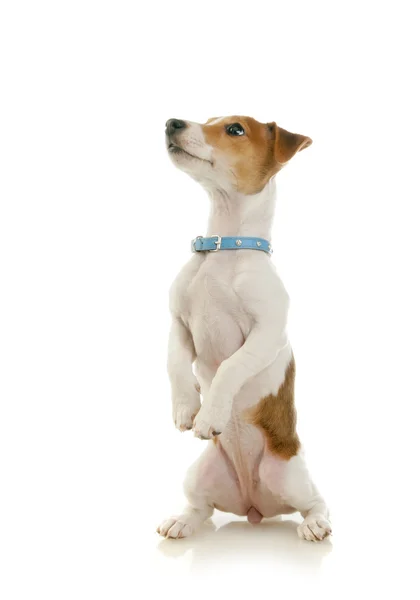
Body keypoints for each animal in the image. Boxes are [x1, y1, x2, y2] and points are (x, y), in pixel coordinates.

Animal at [158, 115, 332, 540]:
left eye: (235, 129)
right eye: (207, 120)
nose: (172, 122)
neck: (224, 246)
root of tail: (254, 506)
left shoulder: (267, 334)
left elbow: (229, 367)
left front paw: (210, 416)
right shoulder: (178, 322)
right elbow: (175, 364)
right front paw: (186, 408)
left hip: (291, 476)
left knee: (315, 502)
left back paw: (315, 525)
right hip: (199, 475)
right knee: (200, 509)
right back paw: (181, 521)